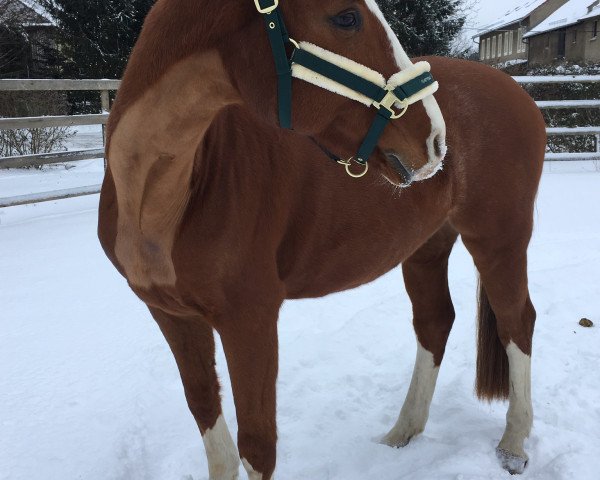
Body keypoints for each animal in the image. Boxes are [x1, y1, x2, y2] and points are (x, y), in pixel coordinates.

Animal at [96, 1, 548, 478]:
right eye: (346, 18)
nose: (435, 139)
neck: (171, 196)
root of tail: (515, 90)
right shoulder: (173, 318)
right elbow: (209, 423)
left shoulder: (250, 321)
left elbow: (257, 445)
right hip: (425, 248)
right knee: (435, 322)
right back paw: (403, 433)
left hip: (499, 240)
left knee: (517, 322)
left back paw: (513, 442)